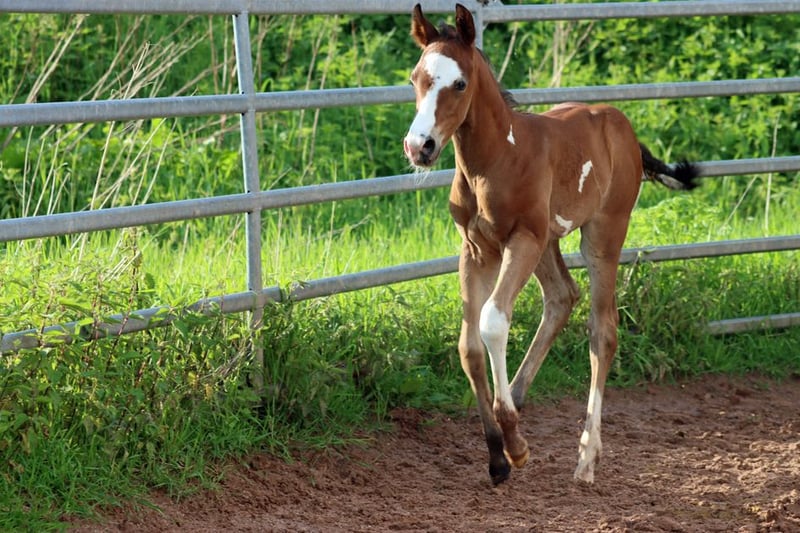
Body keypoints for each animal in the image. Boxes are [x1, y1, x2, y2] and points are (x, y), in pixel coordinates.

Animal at [403, 4, 699, 486]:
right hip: (547, 242)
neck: (497, 160)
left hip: (601, 233)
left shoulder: (520, 239)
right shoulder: (476, 249)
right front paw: (498, 454)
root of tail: (624, 128)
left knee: (603, 330)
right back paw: (517, 401)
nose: (419, 147)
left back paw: (586, 457)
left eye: (460, 83)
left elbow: (491, 322)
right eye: (416, 78)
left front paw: (517, 446)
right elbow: (468, 344)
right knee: (563, 296)